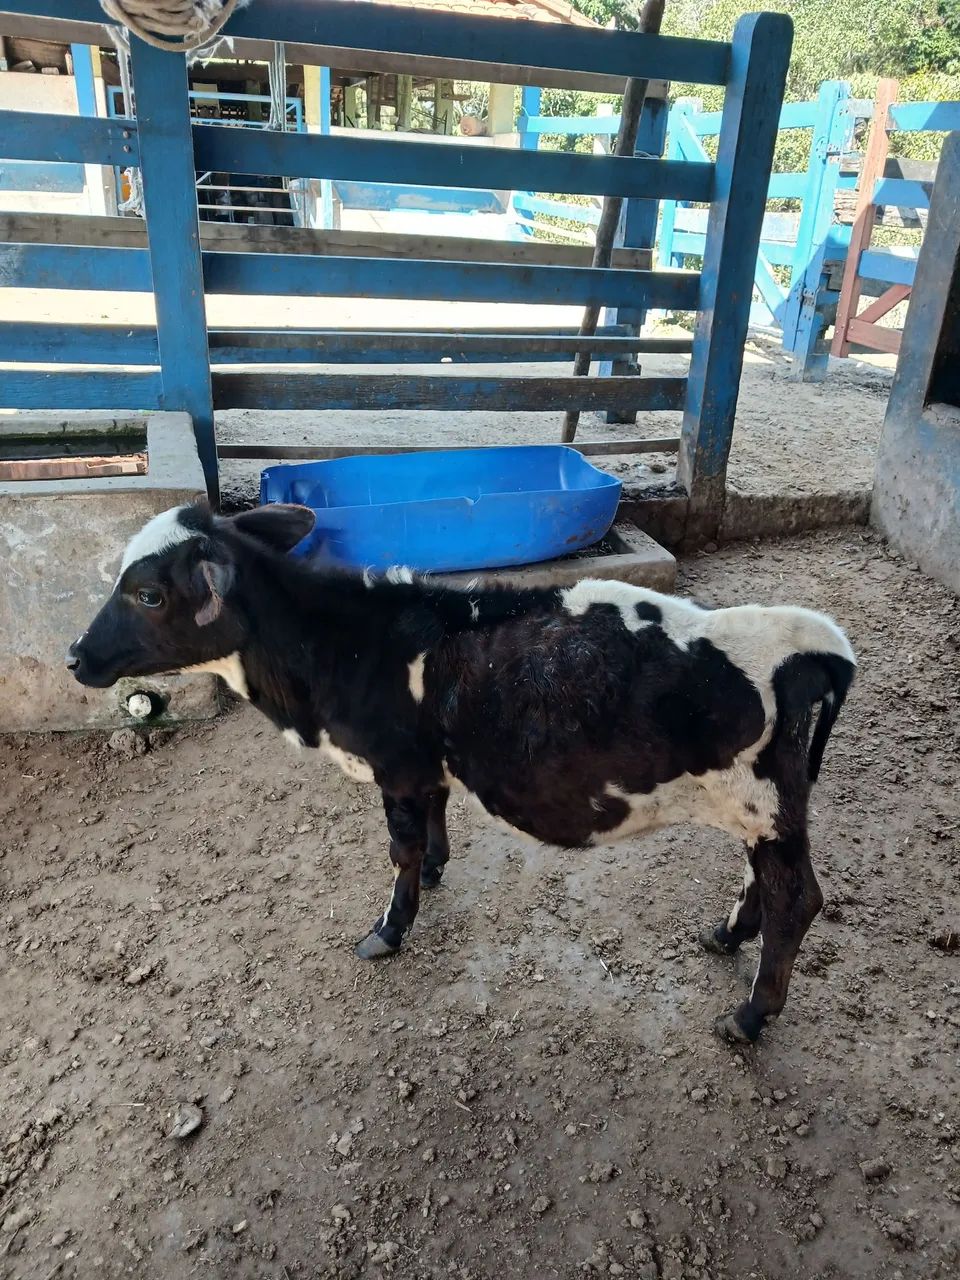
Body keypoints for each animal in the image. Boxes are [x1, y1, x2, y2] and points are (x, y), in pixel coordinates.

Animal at [67, 502, 856, 1044]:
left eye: (148, 594)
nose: (75, 655)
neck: (343, 646)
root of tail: (808, 643)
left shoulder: (395, 768)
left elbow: (401, 849)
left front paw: (389, 929)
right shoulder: (425, 769)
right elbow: (434, 823)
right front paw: (438, 871)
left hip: (763, 801)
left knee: (797, 900)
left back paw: (750, 1015)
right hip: (762, 811)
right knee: (764, 882)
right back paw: (727, 935)